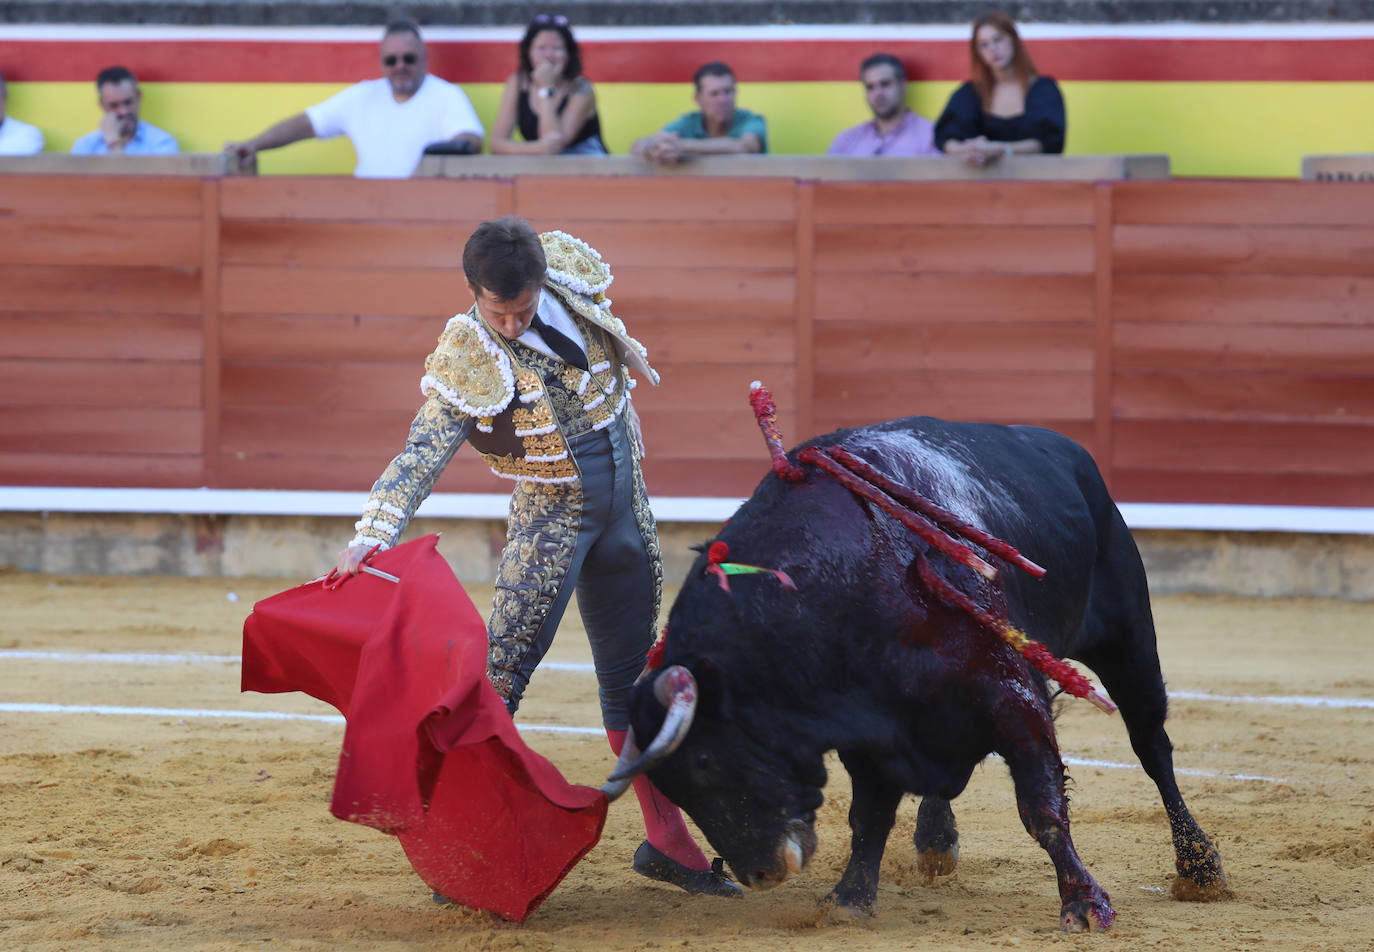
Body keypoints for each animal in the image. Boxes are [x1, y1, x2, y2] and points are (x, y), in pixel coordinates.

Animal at [607, 409, 1231, 928]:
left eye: (706, 761)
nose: (761, 874)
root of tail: (1065, 449)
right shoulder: (872, 729)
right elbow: (869, 816)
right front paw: (849, 900)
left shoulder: (1012, 697)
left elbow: (1043, 808)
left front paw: (1085, 903)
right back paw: (934, 838)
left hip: (1128, 639)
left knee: (1152, 747)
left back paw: (1200, 866)